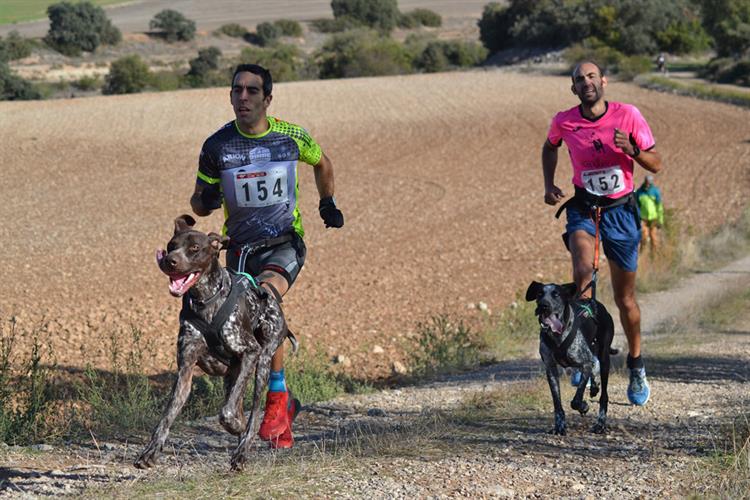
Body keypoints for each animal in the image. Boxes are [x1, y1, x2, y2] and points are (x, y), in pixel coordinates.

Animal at [134, 214, 298, 468]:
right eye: (171, 245)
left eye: (194, 248)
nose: (170, 261)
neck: (206, 301)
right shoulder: (185, 368)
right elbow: (167, 416)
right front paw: (150, 452)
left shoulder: (250, 351)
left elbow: (228, 414)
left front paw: (237, 428)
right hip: (233, 375)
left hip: (262, 362)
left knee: (252, 413)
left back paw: (242, 451)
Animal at [528, 282, 616, 434]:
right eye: (539, 293)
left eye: (556, 294)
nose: (543, 306)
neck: (557, 335)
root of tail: (595, 302)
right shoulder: (551, 369)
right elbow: (557, 403)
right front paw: (559, 426)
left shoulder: (585, 364)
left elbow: (576, 400)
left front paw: (583, 406)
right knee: (595, 365)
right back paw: (594, 387)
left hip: (604, 357)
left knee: (604, 395)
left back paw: (600, 423)